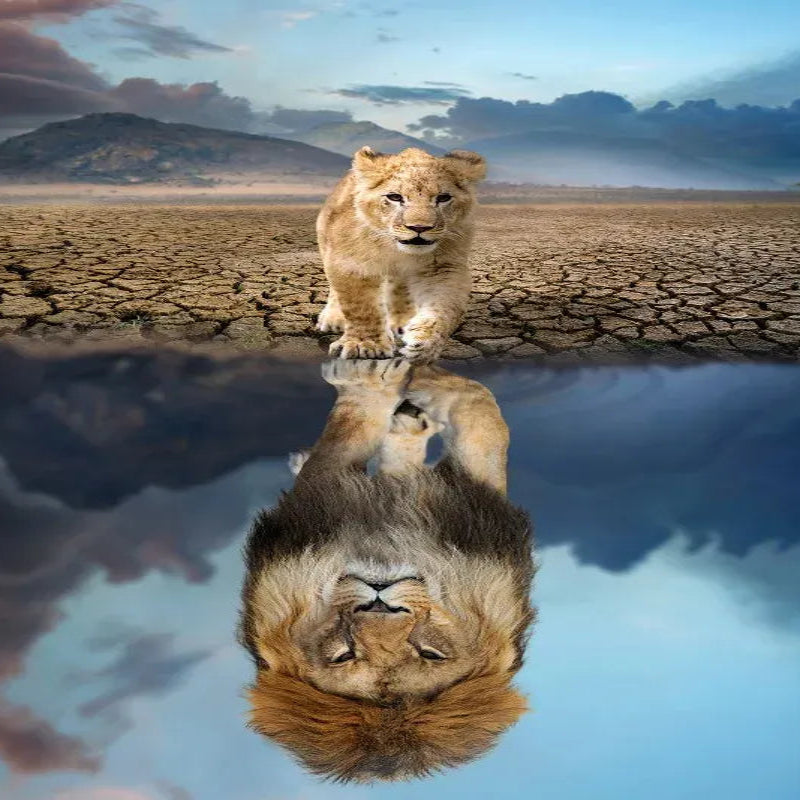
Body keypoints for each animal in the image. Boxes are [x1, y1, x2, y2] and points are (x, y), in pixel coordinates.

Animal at [238, 360, 535, 782]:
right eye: (343, 654)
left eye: (430, 653)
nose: (379, 602)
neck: (388, 541)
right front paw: (390, 381)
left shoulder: (476, 501)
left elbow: (482, 413)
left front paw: (406, 379)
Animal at [315, 146, 487, 362]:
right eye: (395, 197)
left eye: (443, 197)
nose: (419, 227)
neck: (396, 249)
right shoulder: (351, 263)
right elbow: (361, 307)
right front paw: (365, 345)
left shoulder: (443, 267)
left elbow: (446, 308)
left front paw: (425, 343)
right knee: (335, 291)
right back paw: (333, 318)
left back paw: (401, 321)